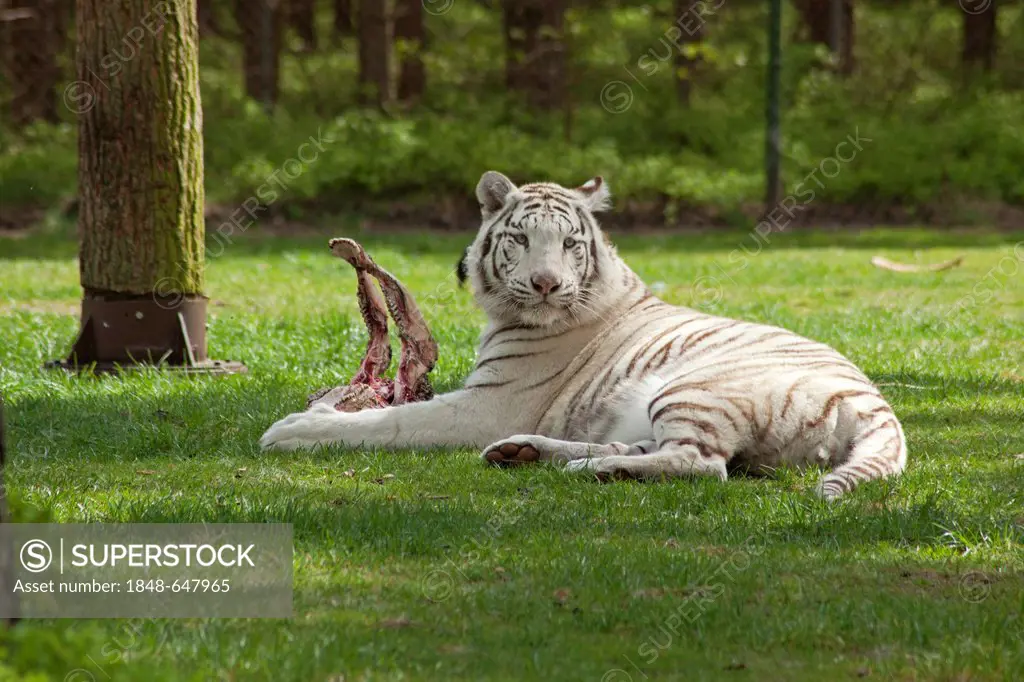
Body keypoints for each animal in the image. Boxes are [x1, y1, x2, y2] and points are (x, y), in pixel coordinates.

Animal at [260, 173, 909, 497]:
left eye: (570, 242)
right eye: (521, 238)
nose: (547, 284)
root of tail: (879, 408)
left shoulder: (488, 403)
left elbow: (392, 421)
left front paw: (295, 429)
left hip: (694, 390)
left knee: (703, 464)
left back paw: (589, 471)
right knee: (658, 450)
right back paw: (529, 454)